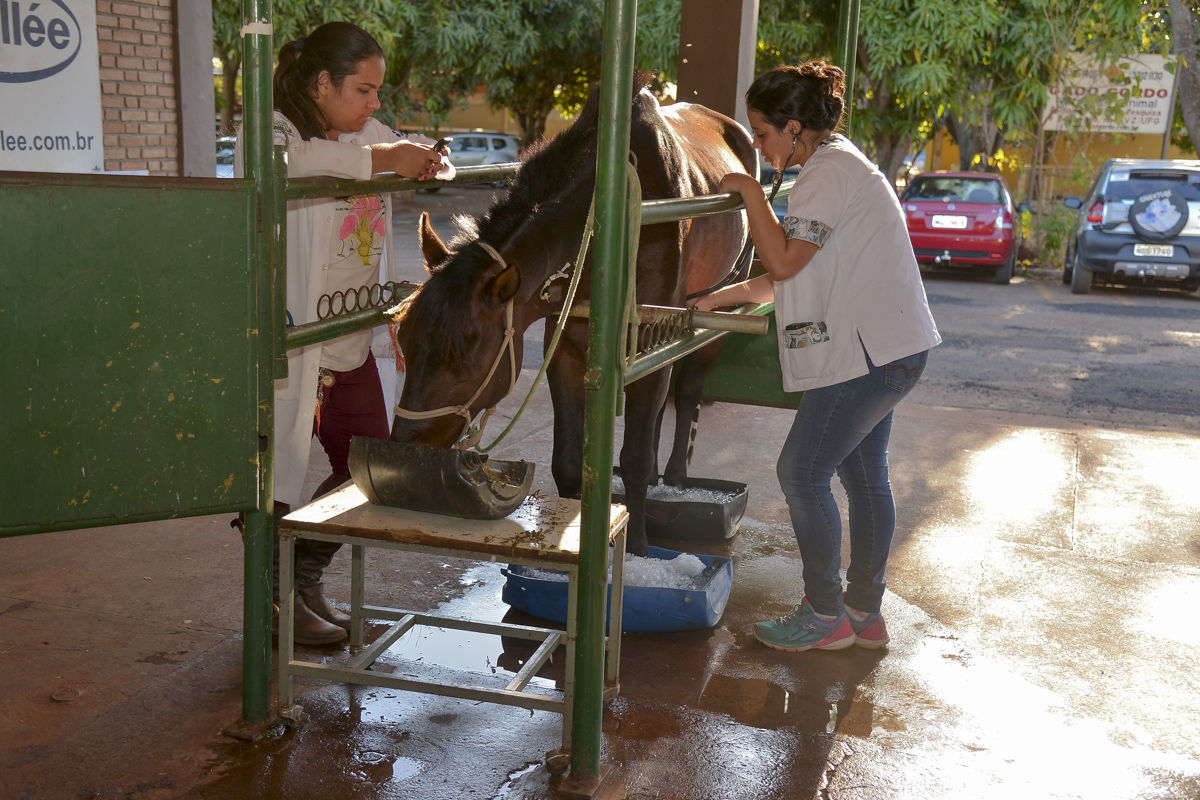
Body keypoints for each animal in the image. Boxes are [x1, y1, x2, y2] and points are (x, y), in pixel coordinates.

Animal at [388, 74, 753, 556]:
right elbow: (567, 464)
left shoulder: (653, 335)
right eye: (405, 344)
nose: (404, 445)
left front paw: (637, 548)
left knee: (689, 390)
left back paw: (674, 476)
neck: (606, 222)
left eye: (465, 363)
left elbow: (635, 461)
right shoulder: (564, 347)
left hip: (716, 314)